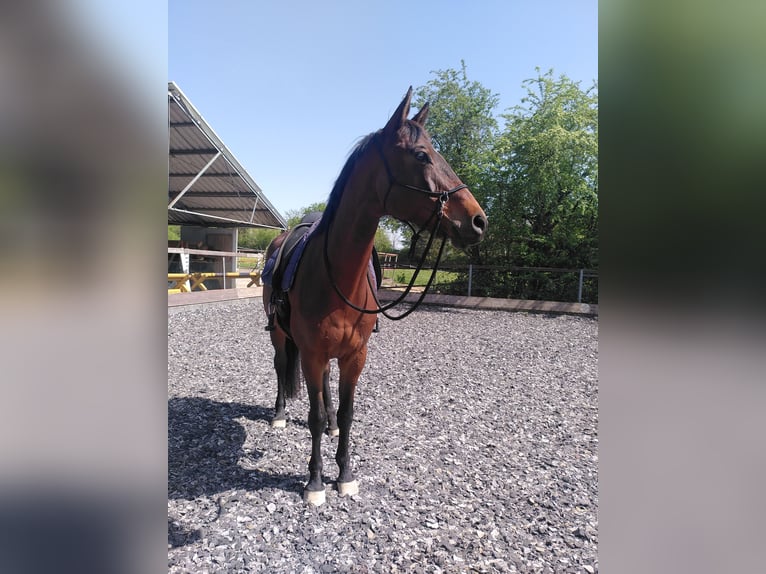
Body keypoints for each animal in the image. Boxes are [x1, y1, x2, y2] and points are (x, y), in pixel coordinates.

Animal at [264, 88, 486, 506]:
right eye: (421, 155)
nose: (479, 220)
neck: (335, 277)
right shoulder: (311, 352)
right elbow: (314, 416)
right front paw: (315, 481)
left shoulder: (355, 355)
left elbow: (346, 413)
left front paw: (345, 473)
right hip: (280, 334)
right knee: (280, 364)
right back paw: (280, 414)